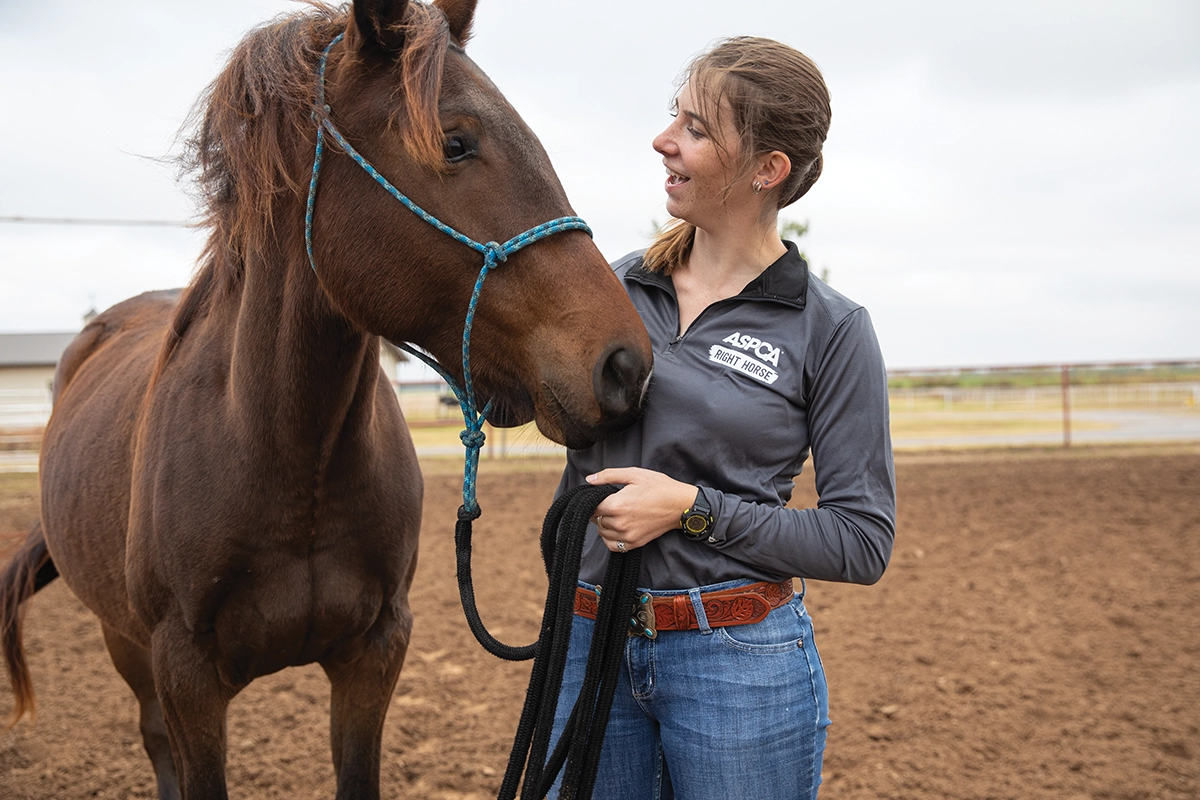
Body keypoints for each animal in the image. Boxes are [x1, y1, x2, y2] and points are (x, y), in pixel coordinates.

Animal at [0, 1, 653, 798]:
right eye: (456, 142)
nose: (625, 365)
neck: (286, 456)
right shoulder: (186, 677)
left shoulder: (375, 652)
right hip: (122, 640)